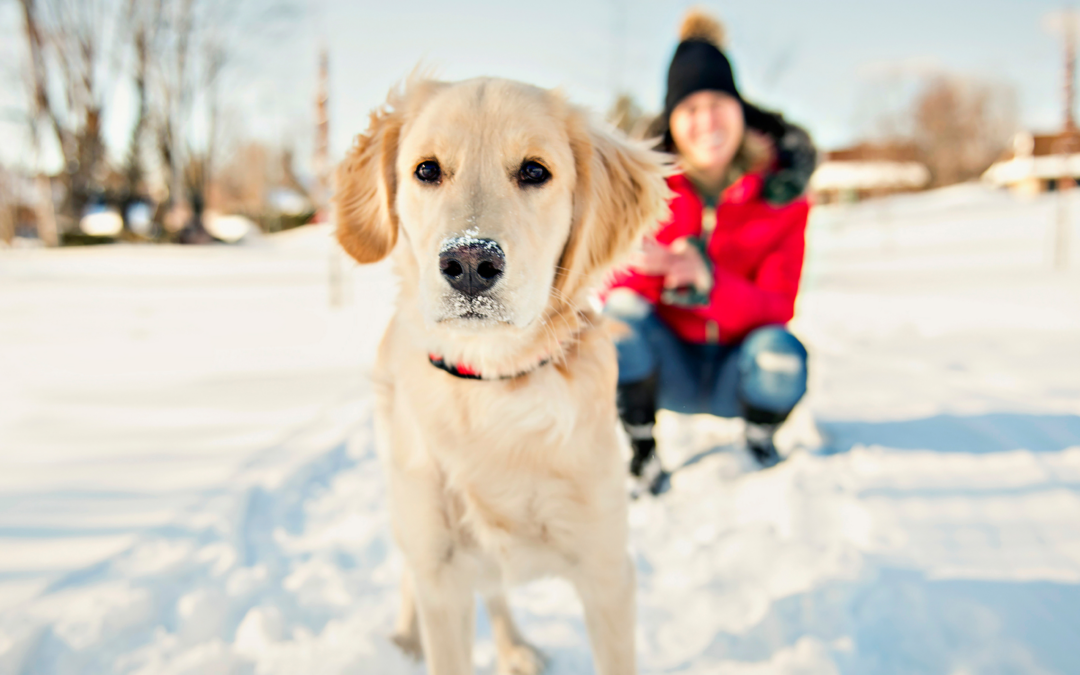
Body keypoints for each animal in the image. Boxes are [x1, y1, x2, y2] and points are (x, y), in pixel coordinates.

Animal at [334, 76, 665, 669]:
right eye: (427, 170)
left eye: (535, 171)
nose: (469, 262)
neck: (492, 387)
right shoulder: (441, 576)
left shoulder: (607, 572)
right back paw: (405, 638)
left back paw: (514, 649)